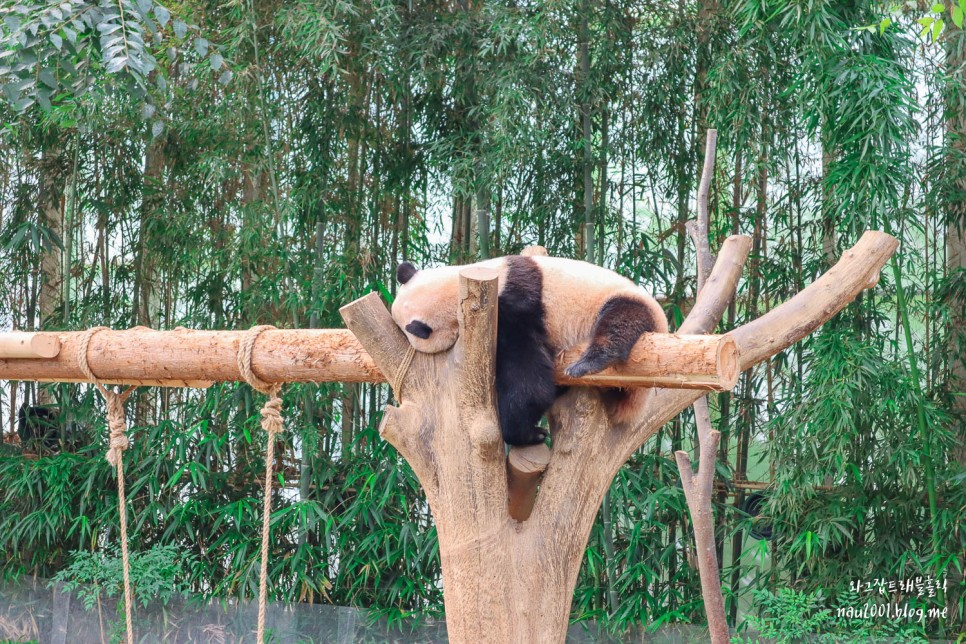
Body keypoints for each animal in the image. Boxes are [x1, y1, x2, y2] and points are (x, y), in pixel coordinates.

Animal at [390, 254, 668, 446]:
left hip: (632, 306)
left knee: (621, 322)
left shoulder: (515, 305)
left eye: (407, 334)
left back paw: (587, 363)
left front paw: (527, 434)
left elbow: (527, 377)